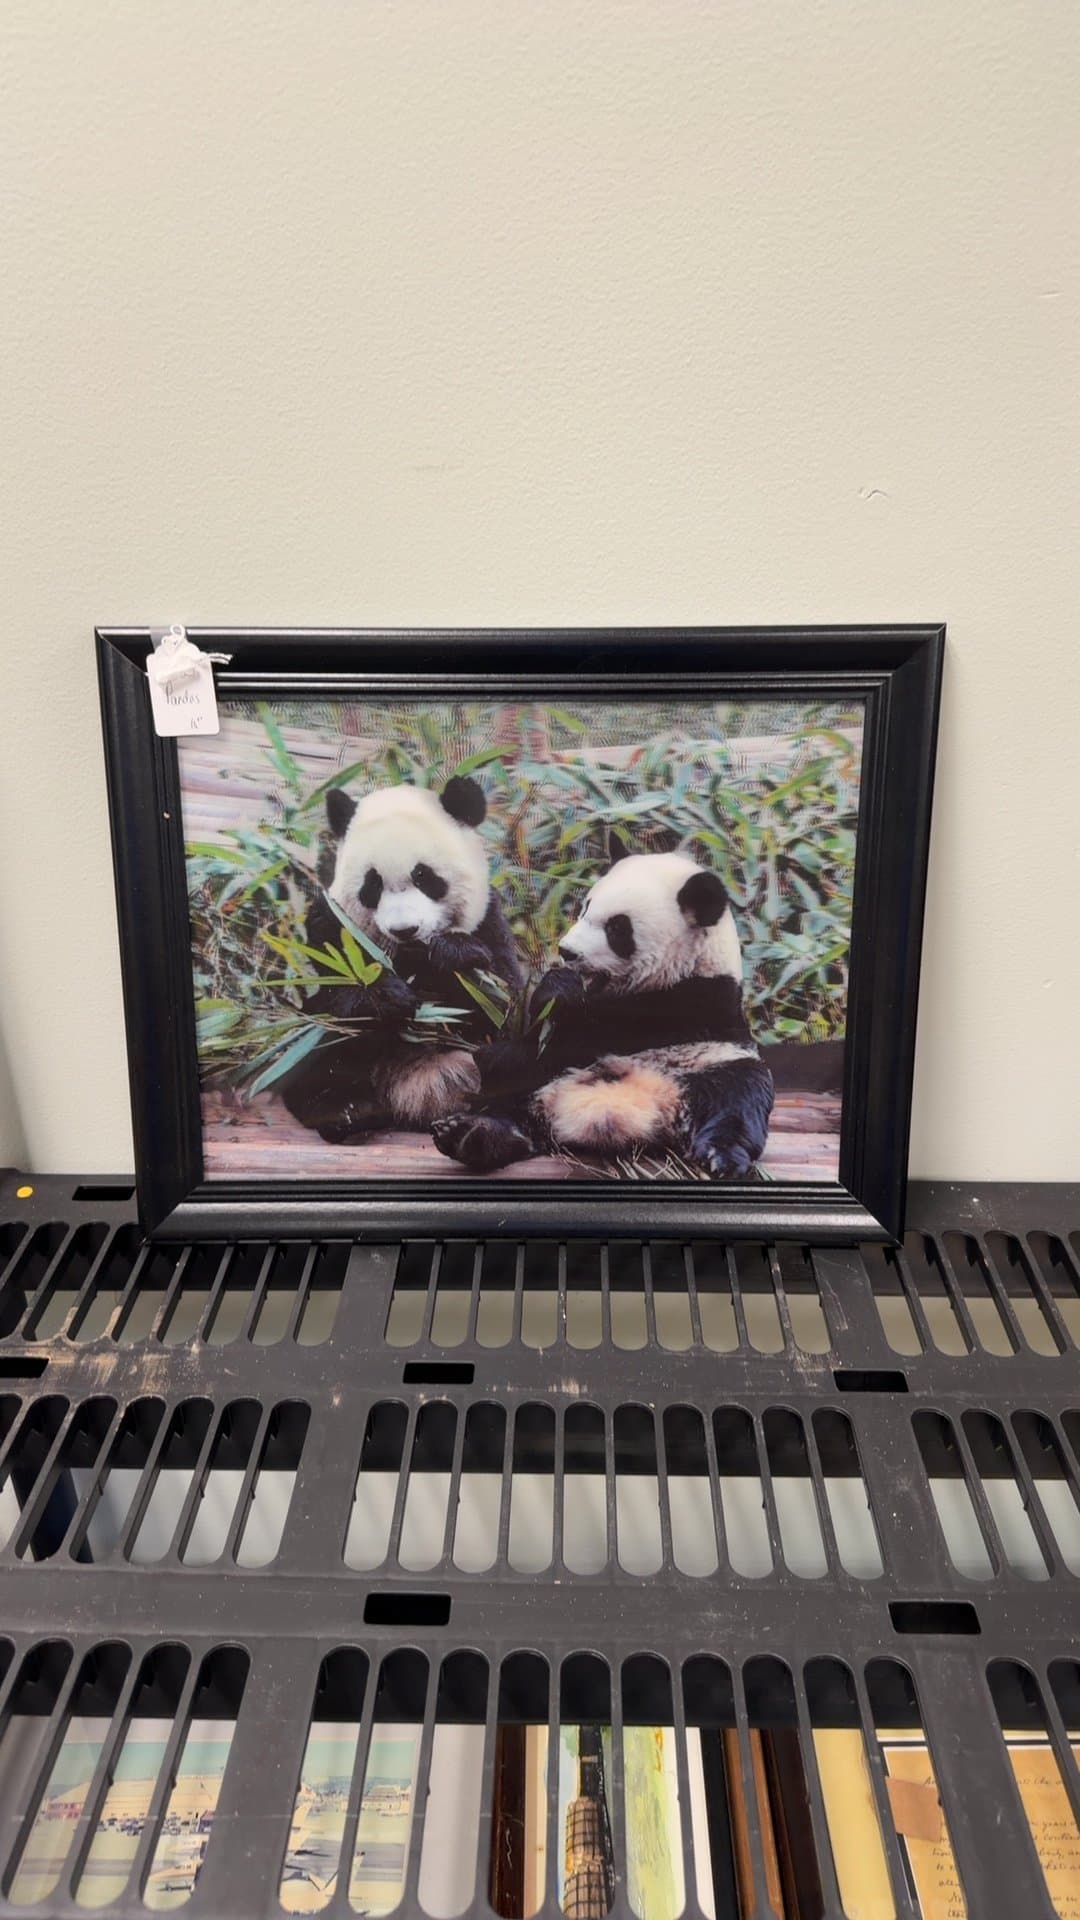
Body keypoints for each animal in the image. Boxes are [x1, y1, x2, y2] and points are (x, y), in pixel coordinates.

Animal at [279, 776, 521, 1142]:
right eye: (372, 884)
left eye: (424, 876)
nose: (405, 930)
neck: (412, 959)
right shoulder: (331, 927)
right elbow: (331, 993)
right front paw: (388, 996)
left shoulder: (489, 919)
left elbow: (504, 1000)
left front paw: (455, 955)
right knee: (310, 1050)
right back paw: (344, 1112)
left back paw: (481, 1133)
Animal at [431, 833, 774, 1178]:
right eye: (586, 907)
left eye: (617, 928)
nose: (567, 951)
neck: (685, 970)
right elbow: (520, 1025)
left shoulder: (695, 1003)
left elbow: (598, 1031)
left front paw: (562, 993)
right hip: (546, 1083)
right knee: (510, 1100)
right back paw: (472, 1135)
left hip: (712, 1066)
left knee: (738, 1102)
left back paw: (721, 1158)